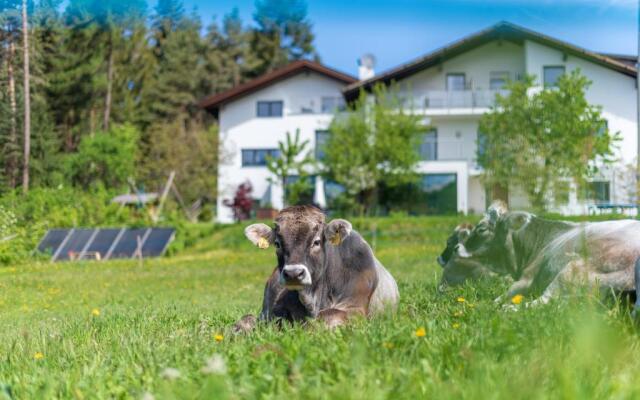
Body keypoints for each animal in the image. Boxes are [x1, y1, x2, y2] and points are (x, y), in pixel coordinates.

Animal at [232, 203, 398, 332]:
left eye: (316, 242)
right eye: (277, 244)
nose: (293, 274)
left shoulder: (355, 309)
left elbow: (325, 317)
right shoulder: (270, 313)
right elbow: (248, 320)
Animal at [438, 202, 640, 310]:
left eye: (481, 229)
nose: (457, 247)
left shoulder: (527, 278)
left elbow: (501, 296)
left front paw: (486, 305)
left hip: (569, 273)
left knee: (541, 303)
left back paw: (509, 309)